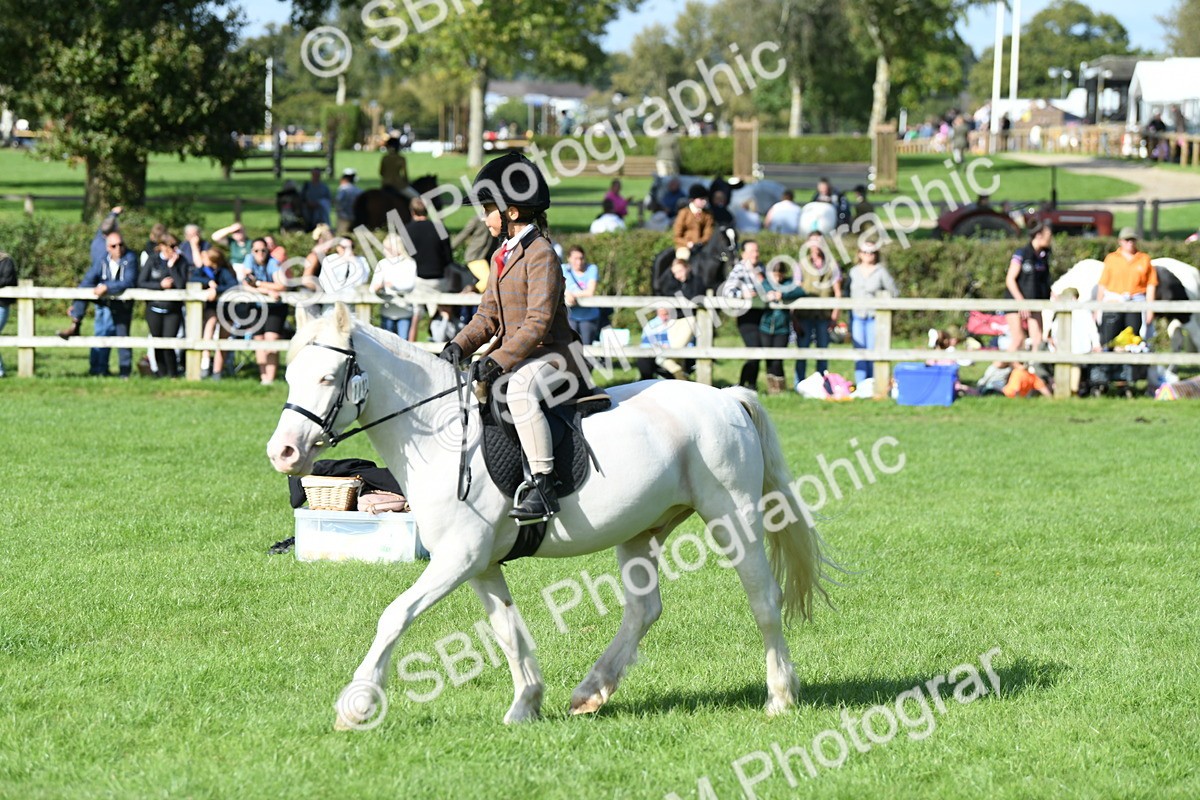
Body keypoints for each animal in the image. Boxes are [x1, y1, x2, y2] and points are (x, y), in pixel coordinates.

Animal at [266, 304, 833, 729]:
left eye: (327, 377)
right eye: (291, 376)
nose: (283, 453)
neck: (440, 431)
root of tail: (727, 400)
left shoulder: (457, 558)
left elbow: (394, 615)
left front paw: (357, 704)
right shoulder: (480, 564)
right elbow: (507, 630)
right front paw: (526, 704)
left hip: (732, 518)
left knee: (763, 599)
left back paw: (780, 696)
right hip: (640, 529)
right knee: (643, 610)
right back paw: (591, 691)